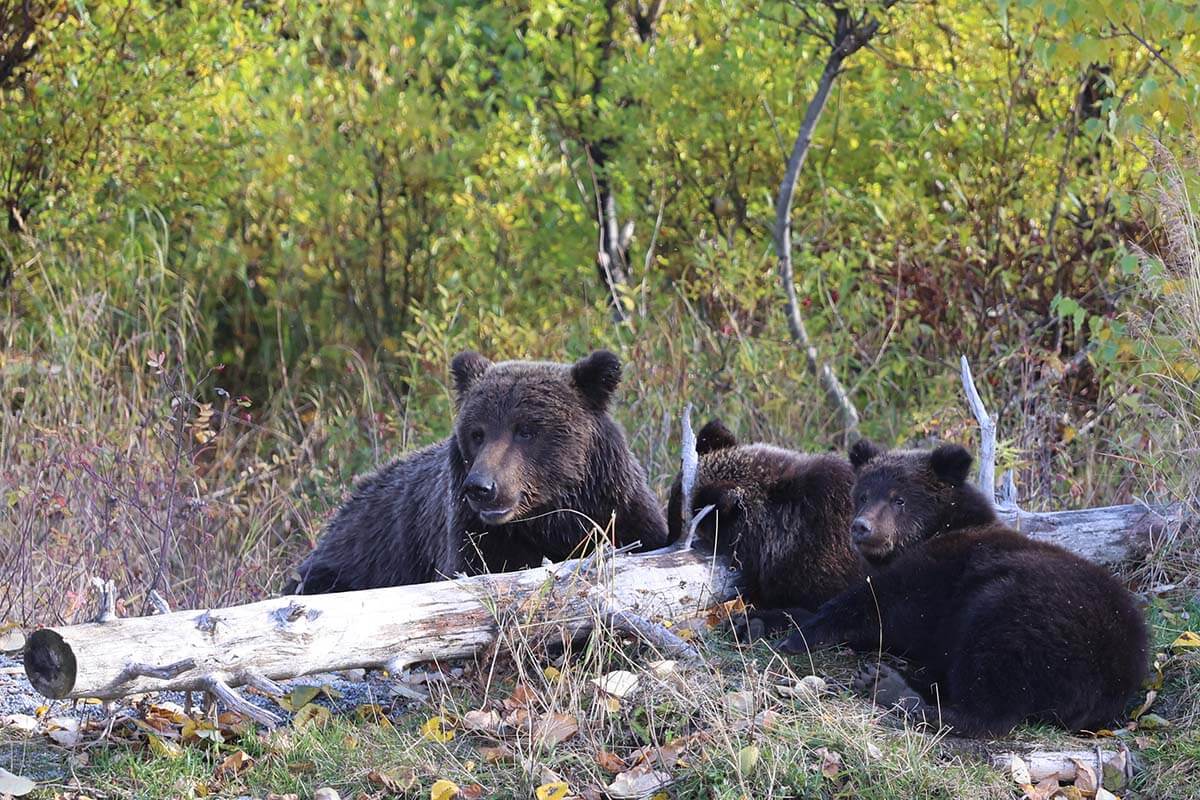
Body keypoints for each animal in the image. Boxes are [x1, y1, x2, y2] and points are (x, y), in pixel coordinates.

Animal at [285, 350, 672, 594]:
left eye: (526, 430)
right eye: (477, 433)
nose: (481, 487)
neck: (550, 518)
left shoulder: (617, 509)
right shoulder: (473, 536)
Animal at [772, 441, 1147, 734]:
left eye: (899, 499)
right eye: (862, 495)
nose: (862, 527)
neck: (933, 532)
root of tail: (1116, 675)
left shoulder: (936, 574)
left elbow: (875, 605)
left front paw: (798, 636)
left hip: (1029, 614)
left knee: (991, 685)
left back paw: (896, 691)